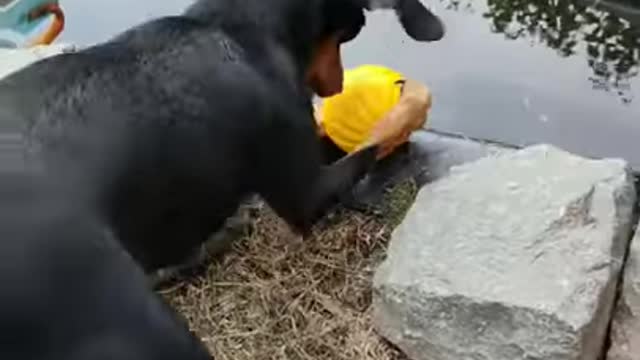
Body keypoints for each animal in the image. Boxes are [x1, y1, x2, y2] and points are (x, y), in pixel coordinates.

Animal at [0, 0, 444, 276]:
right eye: (351, 31)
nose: (336, 87)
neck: (235, 27)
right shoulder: (307, 195)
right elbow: (375, 138)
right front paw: (411, 106)